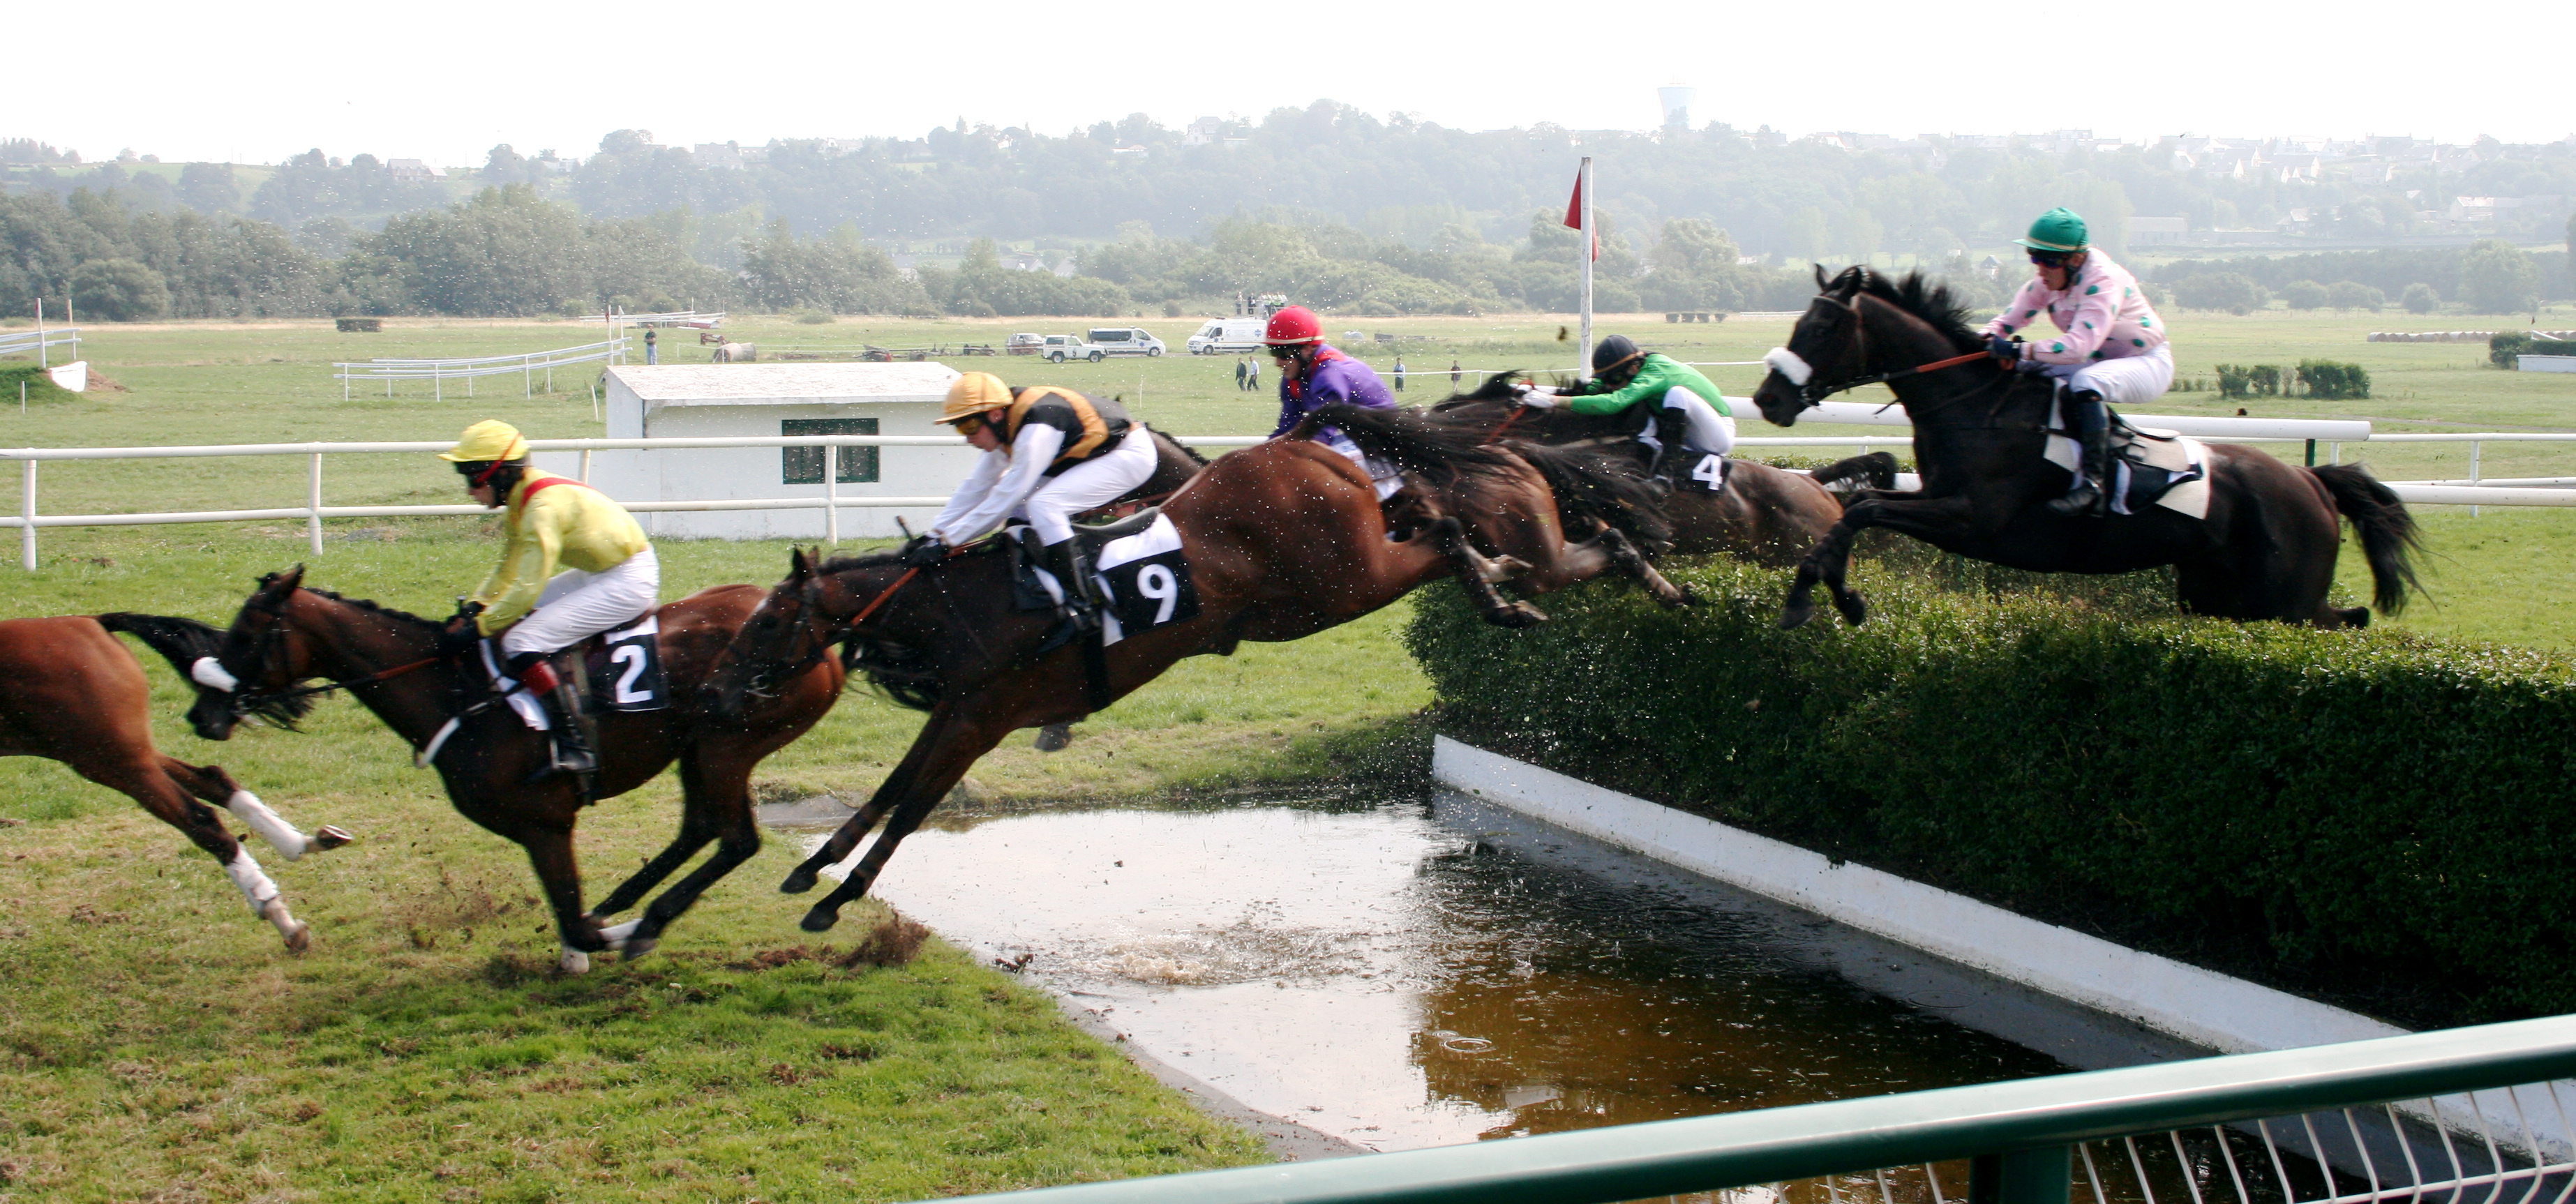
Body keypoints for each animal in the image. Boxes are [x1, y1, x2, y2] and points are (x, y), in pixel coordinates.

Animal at [1, 616, 352, 958]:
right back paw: (301, 844)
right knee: (212, 779)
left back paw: (280, 917)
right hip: (113, 752)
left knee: (201, 820)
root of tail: (92, 622)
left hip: (109, 759)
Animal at [184, 569, 844, 975]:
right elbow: (573, 919)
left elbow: (576, 923)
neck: (456, 693)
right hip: (697, 747)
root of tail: (826, 643)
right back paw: (628, 902)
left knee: (736, 839)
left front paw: (612, 937)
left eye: (245, 633)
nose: (201, 711)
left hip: (727, 745)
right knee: (700, 830)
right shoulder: (536, 829)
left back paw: (647, 916)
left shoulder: (545, 824)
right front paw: (596, 936)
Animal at [695, 420, 1679, 938]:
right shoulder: (962, 712)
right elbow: (891, 787)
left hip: (1337, 583)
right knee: (1475, 537)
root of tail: (1314, 450)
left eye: (770, 622)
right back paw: (1583, 576)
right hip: (1311, 600)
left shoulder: (984, 718)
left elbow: (910, 805)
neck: (972, 605)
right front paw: (812, 868)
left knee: (1440, 533)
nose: (714, 694)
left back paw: (1514, 584)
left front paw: (839, 897)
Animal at [1751, 266, 2411, 631]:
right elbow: (1862, 504)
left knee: (2341, 621)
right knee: (2344, 619)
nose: (1768, 397)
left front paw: (1823, 598)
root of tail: (2313, 483)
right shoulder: (1937, 498)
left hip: (2282, 598)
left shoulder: (1972, 520)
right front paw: (1832, 594)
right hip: (2219, 597)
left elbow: (1863, 509)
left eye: (1820, 328)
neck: (1976, 407)